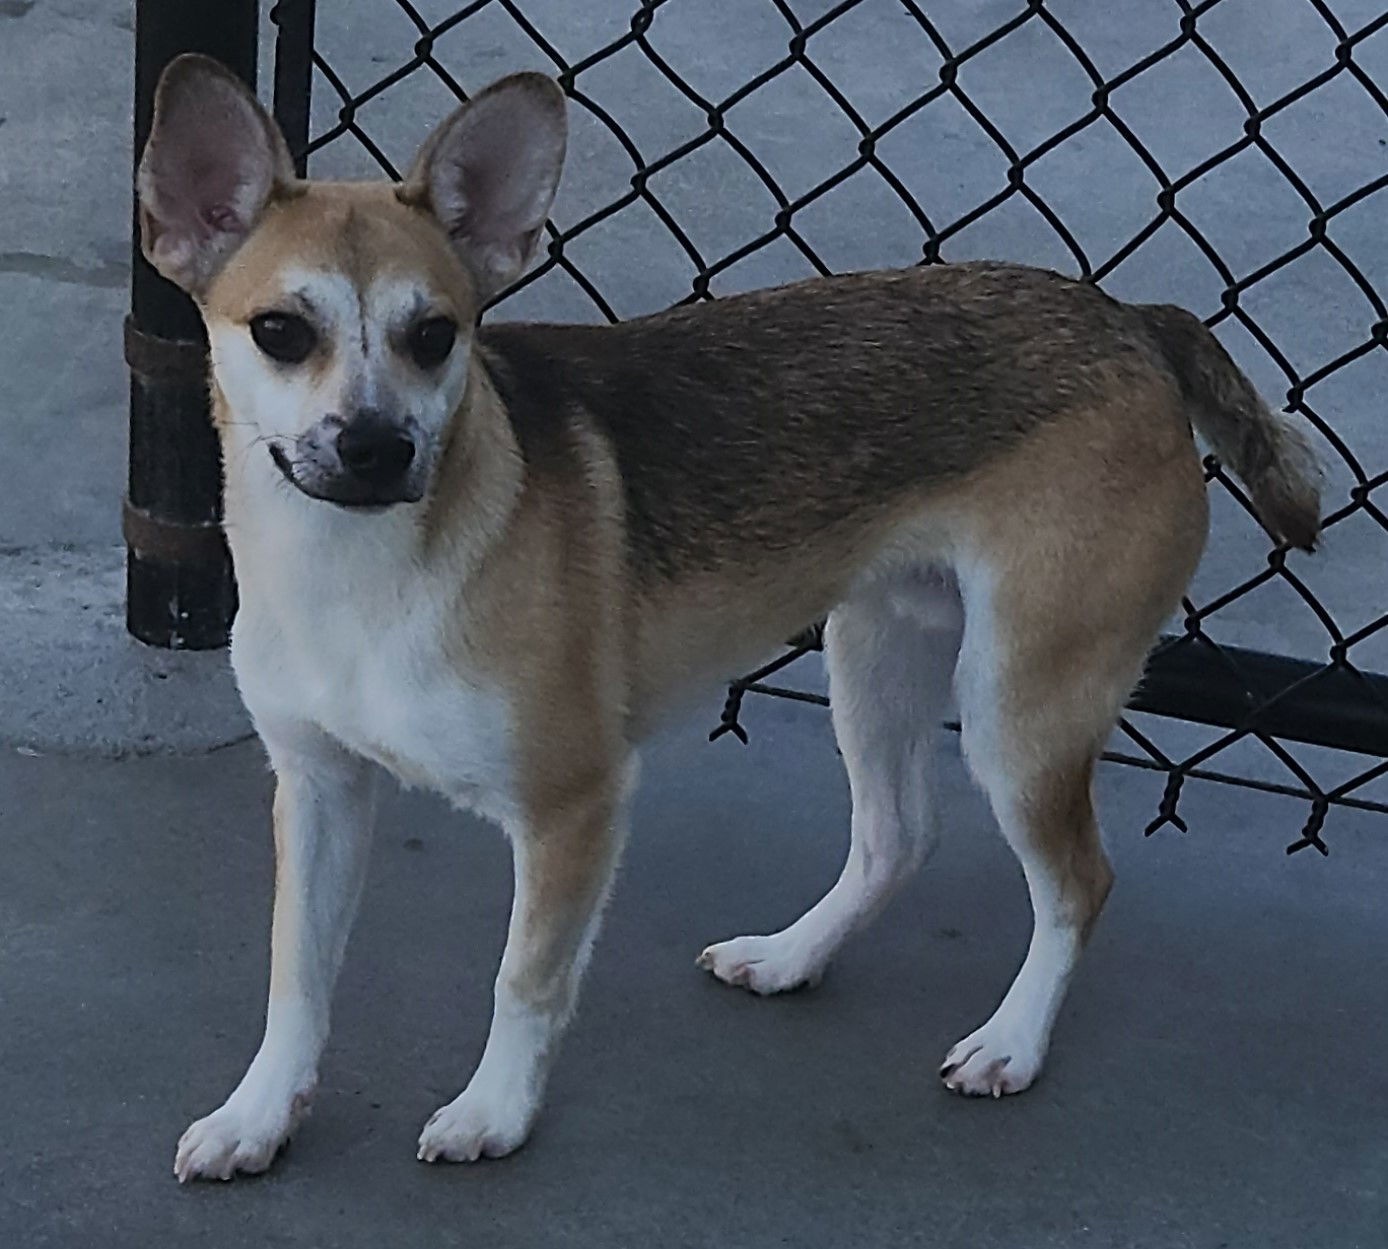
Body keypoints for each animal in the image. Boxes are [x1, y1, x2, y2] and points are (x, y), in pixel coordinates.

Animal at [138, 51, 1321, 1182]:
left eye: (435, 335)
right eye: (280, 331)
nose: (378, 446)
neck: (366, 571)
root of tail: (1132, 321)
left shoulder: (573, 806)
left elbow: (524, 979)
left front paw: (494, 1112)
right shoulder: (320, 790)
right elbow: (296, 974)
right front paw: (259, 1115)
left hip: (1019, 707)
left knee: (1076, 881)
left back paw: (1013, 1042)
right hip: (877, 652)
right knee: (897, 835)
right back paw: (793, 955)